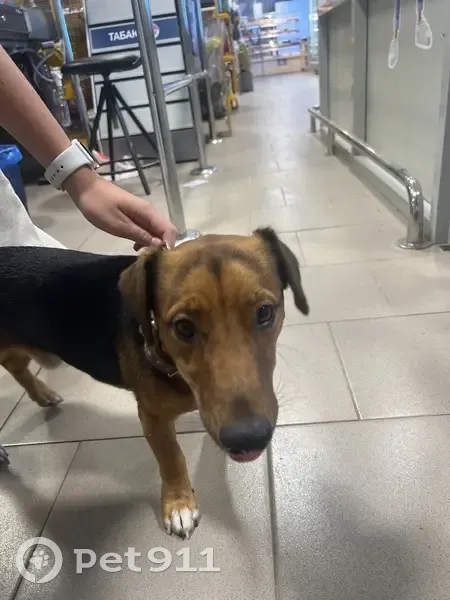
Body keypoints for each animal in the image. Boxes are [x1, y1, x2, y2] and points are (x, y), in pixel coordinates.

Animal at [0, 228, 309, 539]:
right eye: (183, 327)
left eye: (265, 312)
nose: (248, 438)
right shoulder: (152, 417)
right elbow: (172, 458)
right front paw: (179, 504)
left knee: (16, 366)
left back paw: (42, 393)